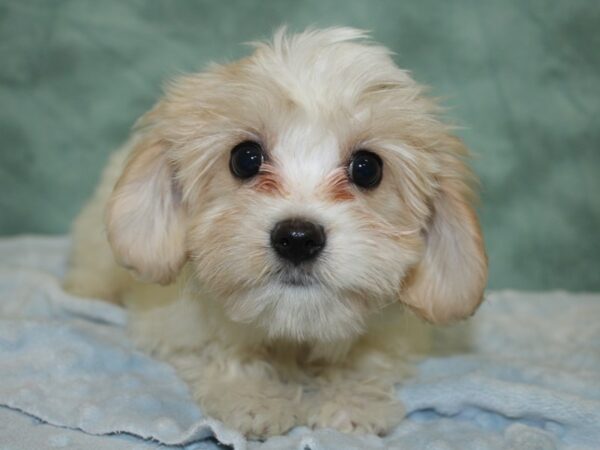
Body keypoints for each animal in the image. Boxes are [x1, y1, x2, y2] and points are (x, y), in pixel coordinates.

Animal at [64, 27, 488, 436]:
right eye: (245, 158)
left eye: (368, 168)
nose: (297, 239)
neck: (291, 330)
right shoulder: (172, 326)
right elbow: (221, 351)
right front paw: (253, 397)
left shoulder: (396, 336)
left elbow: (368, 359)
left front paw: (352, 400)